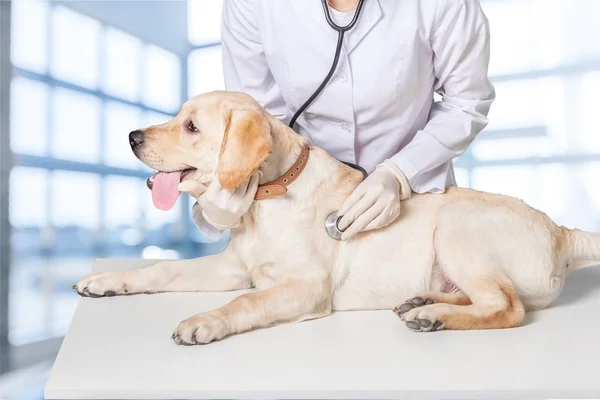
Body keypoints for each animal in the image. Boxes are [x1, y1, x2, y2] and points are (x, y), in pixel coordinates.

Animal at [75, 90, 600, 344]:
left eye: (191, 127)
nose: (132, 137)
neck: (267, 198)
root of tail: (562, 231)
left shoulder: (306, 287)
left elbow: (245, 302)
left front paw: (205, 321)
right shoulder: (234, 267)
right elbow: (163, 269)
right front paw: (106, 281)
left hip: (457, 222)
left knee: (507, 307)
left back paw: (432, 317)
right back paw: (424, 301)